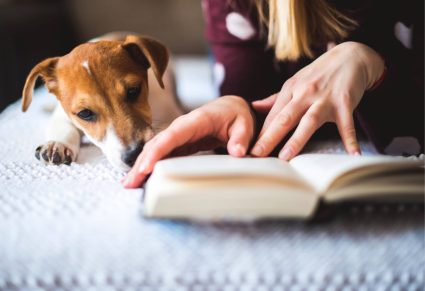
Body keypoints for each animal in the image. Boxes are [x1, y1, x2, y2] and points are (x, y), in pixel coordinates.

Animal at [22, 32, 182, 171]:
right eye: (85, 113)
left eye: (133, 91)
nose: (135, 154)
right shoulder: (62, 115)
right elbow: (64, 127)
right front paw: (57, 144)